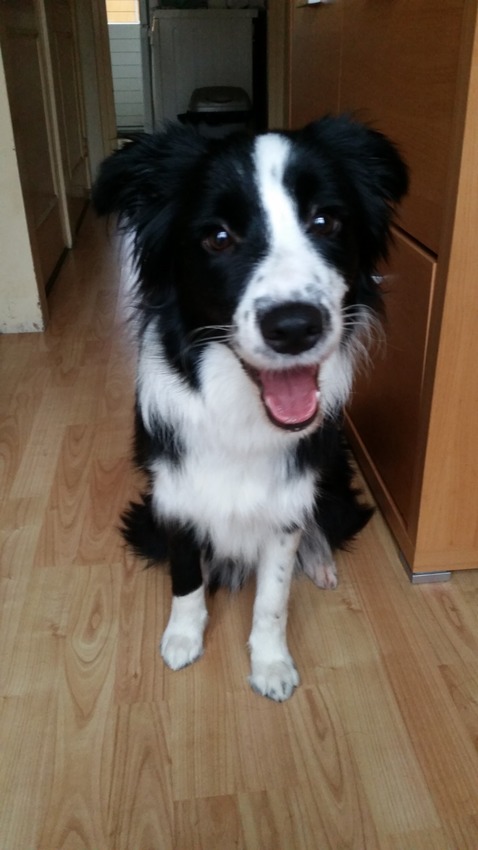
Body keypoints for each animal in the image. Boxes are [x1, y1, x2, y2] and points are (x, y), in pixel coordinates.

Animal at [93, 116, 408, 700]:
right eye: (218, 237)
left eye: (326, 221)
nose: (295, 326)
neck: (241, 415)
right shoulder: (173, 495)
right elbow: (186, 577)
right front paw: (183, 638)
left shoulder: (286, 503)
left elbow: (273, 599)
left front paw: (271, 665)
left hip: (332, 473)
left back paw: (318, 559)